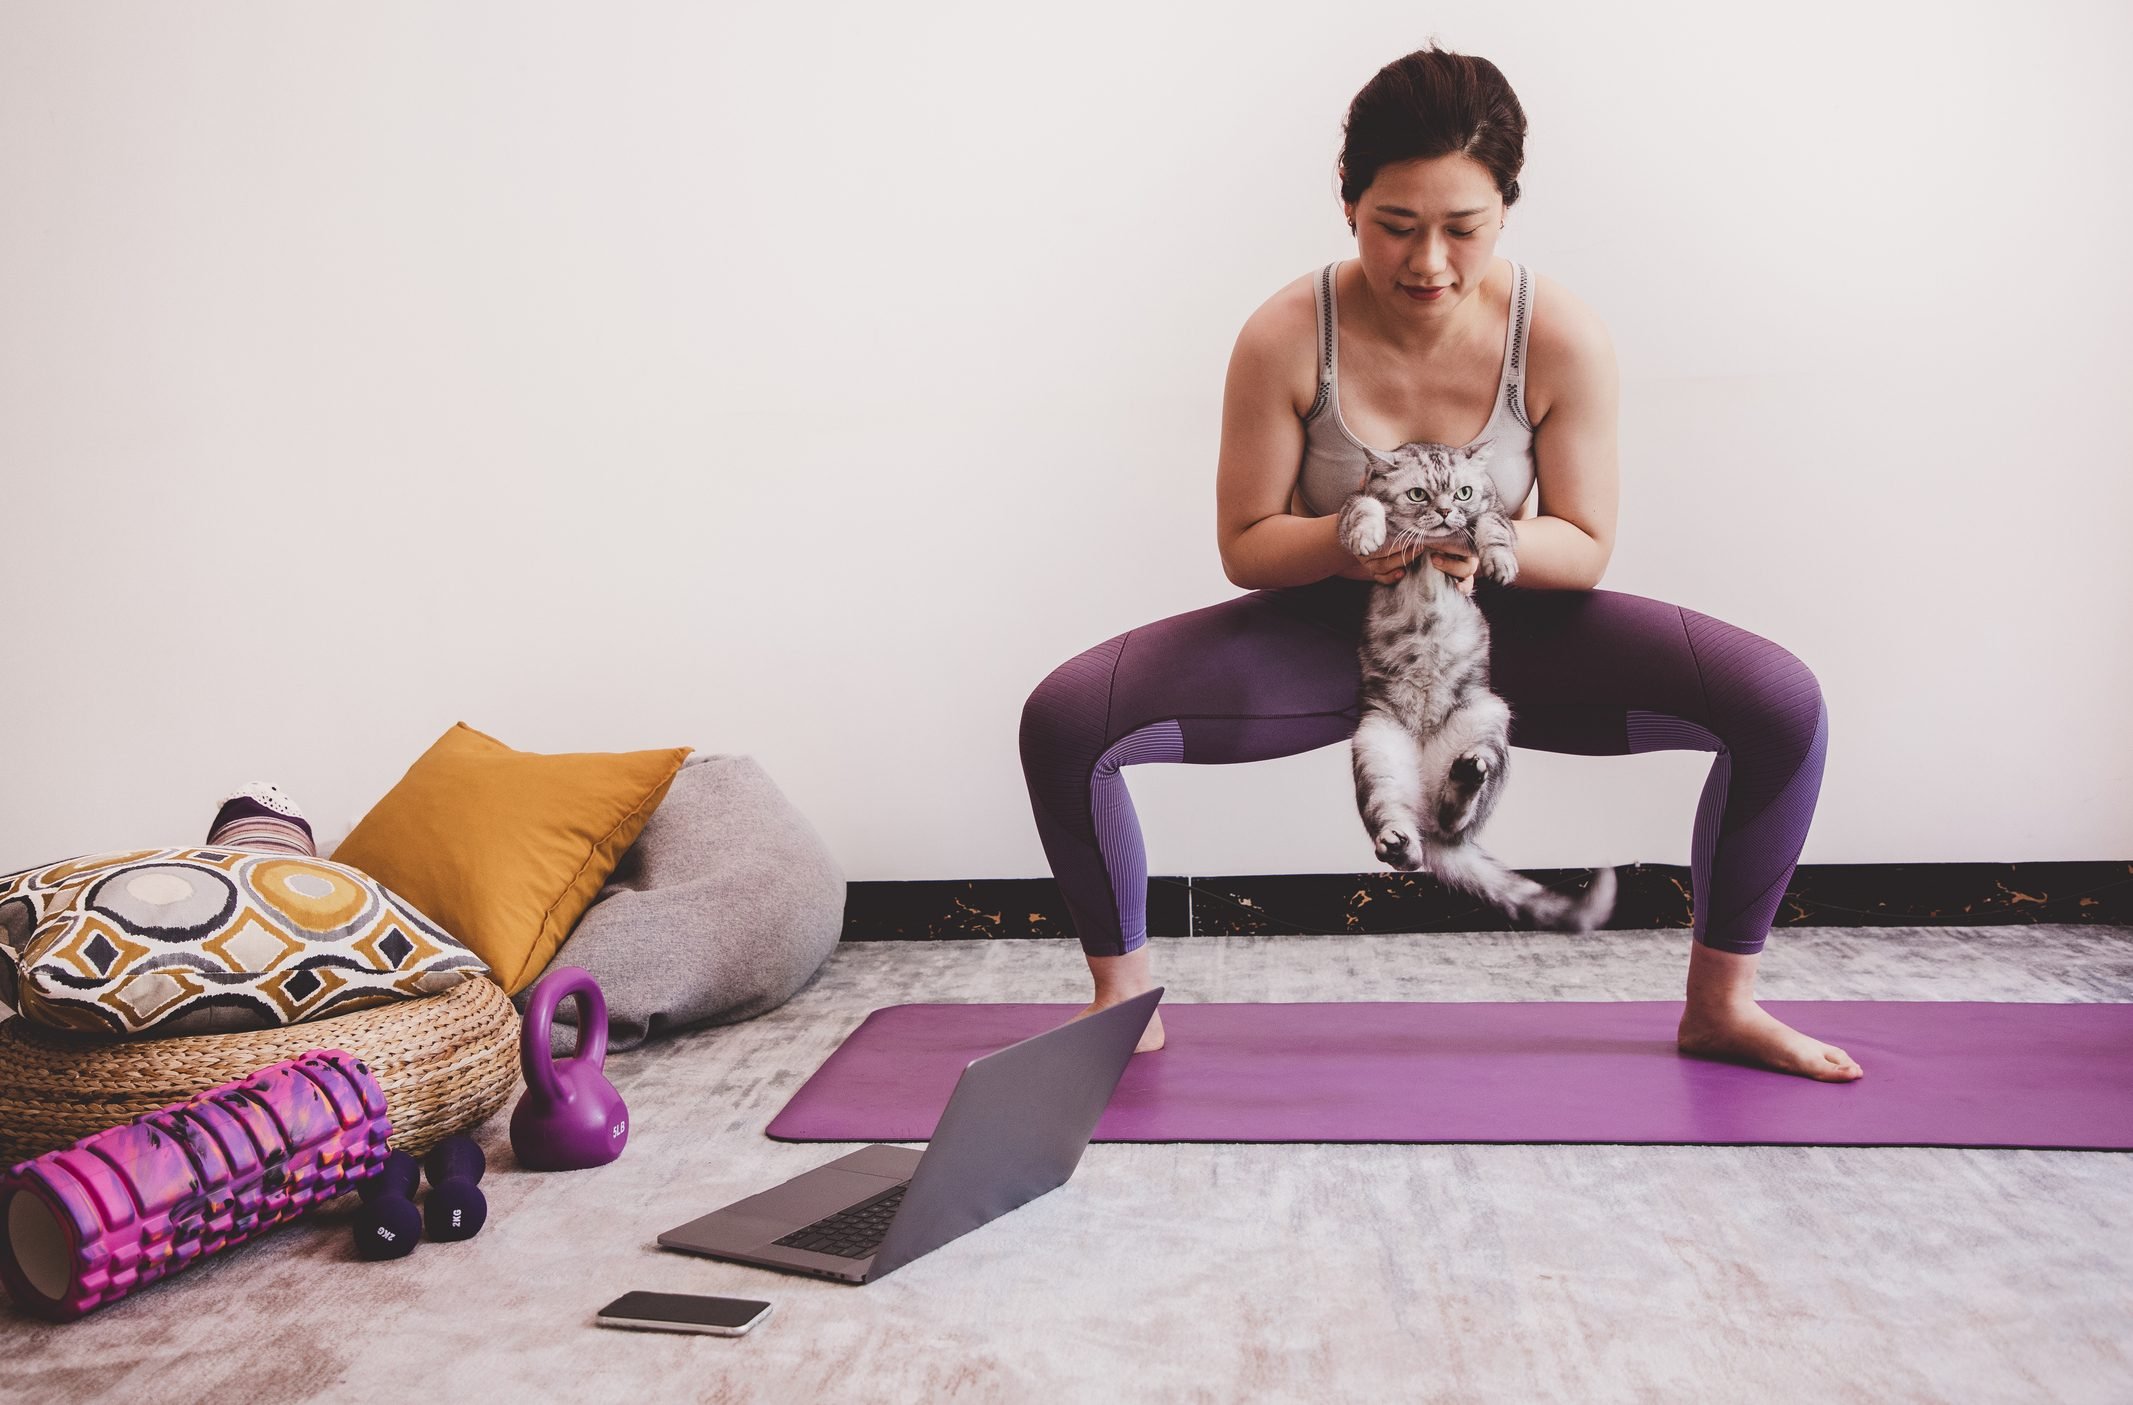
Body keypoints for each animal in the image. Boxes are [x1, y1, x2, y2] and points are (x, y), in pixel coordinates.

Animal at [1330, 439, 1612, 933]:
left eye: (1463, 492)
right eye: (1419, 494)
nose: (1445, 512)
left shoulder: (1492, 512)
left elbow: (1493, 529)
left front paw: (1499, 562)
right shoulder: (1352, 503)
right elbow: (1366, 507)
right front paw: (1367, 535)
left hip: (1488, 720)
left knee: (1454, 822)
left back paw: (1462, 779)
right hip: (1377, 750)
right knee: (1406, 838)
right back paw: (1399, 840)